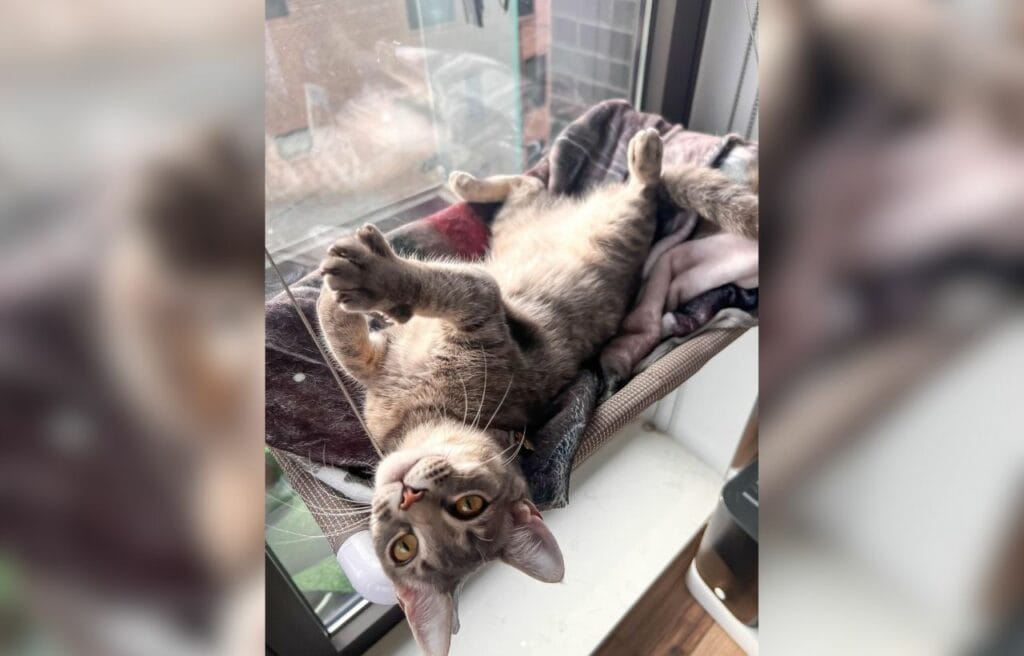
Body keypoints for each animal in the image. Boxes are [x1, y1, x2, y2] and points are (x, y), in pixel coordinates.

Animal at [316, 128, 757, 655]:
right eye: (403, 547)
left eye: (469, 506)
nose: (408, 494)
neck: (422, 413)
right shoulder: (381, 365)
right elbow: (346, 343)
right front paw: (326, 301)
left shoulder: (480, 308)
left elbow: (425, 289)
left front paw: (365, 280)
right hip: (517, 223)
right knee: (528, 188)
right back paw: (471, 182)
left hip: (618, 225)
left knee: (644, 192)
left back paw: (645, 152)